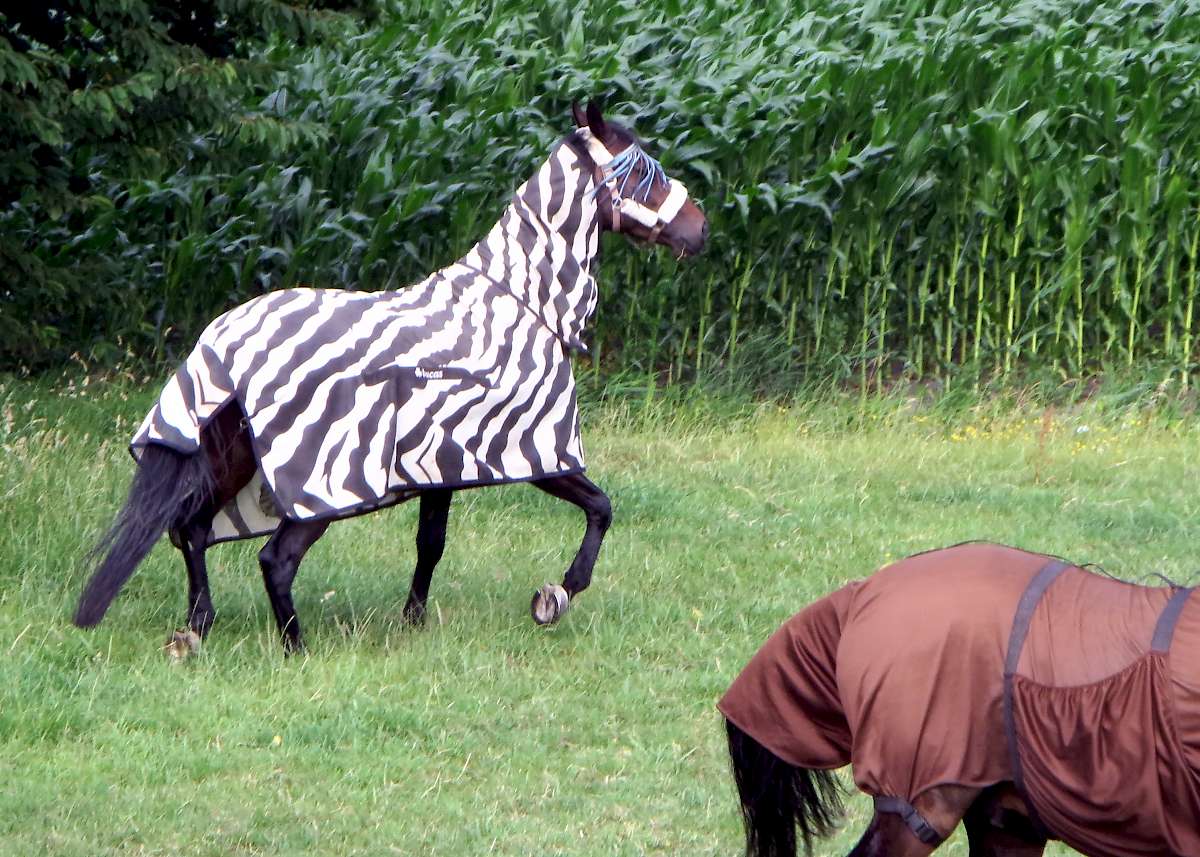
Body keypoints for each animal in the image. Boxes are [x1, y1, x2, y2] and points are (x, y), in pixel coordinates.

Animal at [75, 102, 705, 648]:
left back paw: (197, 626)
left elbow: (431, 544)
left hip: (231, 462)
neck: (522, 301)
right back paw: (295, 646)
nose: (699, 230)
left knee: (193, 529)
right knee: (274, 559)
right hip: (315, 491)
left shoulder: (442, 468)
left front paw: (414, 618)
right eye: (643, 173)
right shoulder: (530, 451)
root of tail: (224, 348)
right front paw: (559, 593)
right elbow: (601, 507)